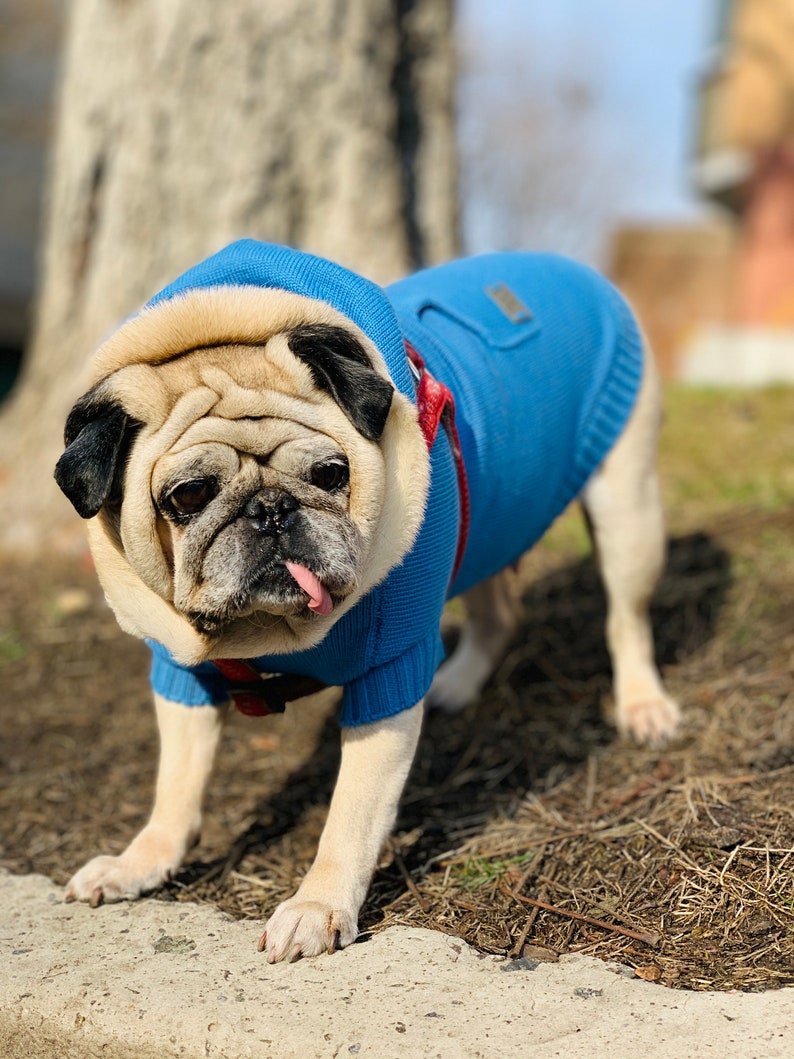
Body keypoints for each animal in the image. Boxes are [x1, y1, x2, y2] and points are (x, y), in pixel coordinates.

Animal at [54, 240, 677, 961]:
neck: (265, 634)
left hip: (627, 508)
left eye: (331, 474)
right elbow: (176, 786)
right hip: (487, 524)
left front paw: (317, 906)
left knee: (626, 620)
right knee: (500, 615)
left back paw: (643, 706)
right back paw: (457, 682)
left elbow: (350, 814)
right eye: (187, 496)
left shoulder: (389, 670)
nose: (271, 510)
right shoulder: (180, 671)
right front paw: (142, 860)